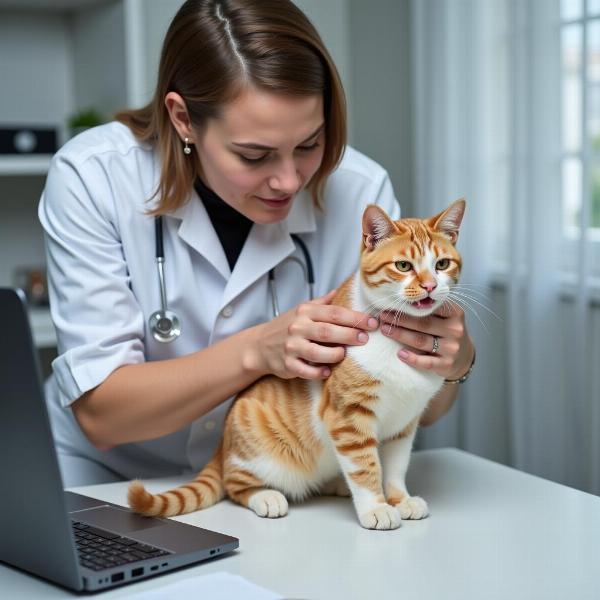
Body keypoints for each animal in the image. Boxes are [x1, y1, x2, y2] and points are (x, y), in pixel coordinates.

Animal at [129, 200, 466, 528]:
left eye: (441, 264)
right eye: (403, 266)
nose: (430, 286)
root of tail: (223, 442)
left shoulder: (404, 424)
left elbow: (395, 467)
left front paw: (399, 499)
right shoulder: (348, 417)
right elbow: (364, 467)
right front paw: (376, 508)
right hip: (259, 453)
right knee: (235, 484)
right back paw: (266, 497)